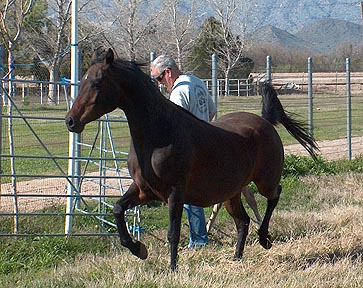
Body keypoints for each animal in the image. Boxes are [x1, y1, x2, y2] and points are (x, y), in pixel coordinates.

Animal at [65, 47, 318, 270]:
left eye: (96, 83)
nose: (70, 121)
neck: (159, 135)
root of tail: (265, 121)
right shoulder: (144, 190)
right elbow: (118, 209)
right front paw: (139, 249)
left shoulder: (175, 193)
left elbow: (173, 233)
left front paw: (172, 269)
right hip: (231, 193)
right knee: (243, 222)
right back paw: (237, 259)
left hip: (265, 181)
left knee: (274, 196)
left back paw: (264, 238)